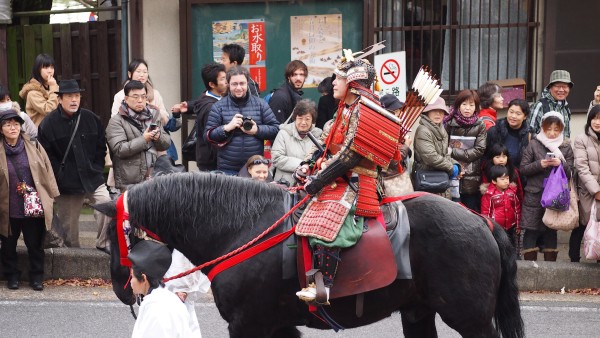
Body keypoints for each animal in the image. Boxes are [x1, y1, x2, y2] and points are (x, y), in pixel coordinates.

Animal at [96, 173, 524, 336]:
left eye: (114, 239)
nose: (120, 287)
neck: (240, 226)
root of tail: (481, 220)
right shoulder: (275, 324)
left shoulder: (248, 324)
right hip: (418, 311)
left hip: (469, 318)